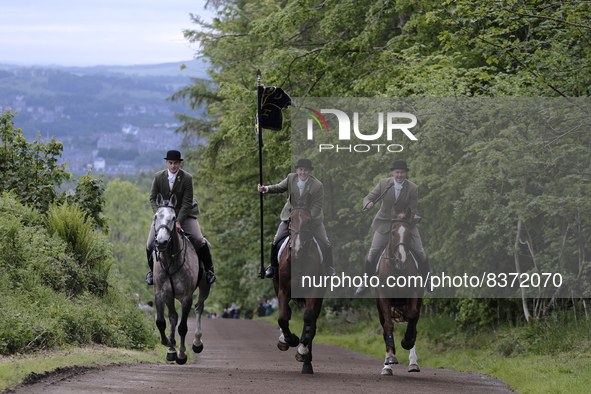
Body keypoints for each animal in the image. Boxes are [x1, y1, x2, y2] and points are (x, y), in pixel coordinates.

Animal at [153, 193, 210, 364]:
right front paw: (167, 342)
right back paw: (171, 350)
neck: (171, 260)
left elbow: (183, 327)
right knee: (173, 317)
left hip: (204, 287)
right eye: (156, 216)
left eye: (173, 218)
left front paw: (182, 354)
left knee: (199, 307)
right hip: (170, 296)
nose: (161, 242)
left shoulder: (186, 297)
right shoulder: (160, 294)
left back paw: (197, 343)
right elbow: (161, 321)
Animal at [274, 195, 326, 374]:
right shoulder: (283, 290)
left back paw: (306, 361)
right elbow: (283, 318)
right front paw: (289, 340)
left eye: (309, 221)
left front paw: (302, 350)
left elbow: (308, 318)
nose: (296, 250)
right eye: (290, 219)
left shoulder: (314, 291)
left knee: (312, 323)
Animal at [374, 205, 426, 374]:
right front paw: (390, 358)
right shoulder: (383, 297)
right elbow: (388, 326)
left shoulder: (413, 294)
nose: (401, 260)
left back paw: (413, 363)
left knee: (413, 322)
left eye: (409, 234)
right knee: (385, 327)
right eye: (392, 232)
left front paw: (406, 341)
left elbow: (412, 316)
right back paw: (387, 366)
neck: (396, 269)